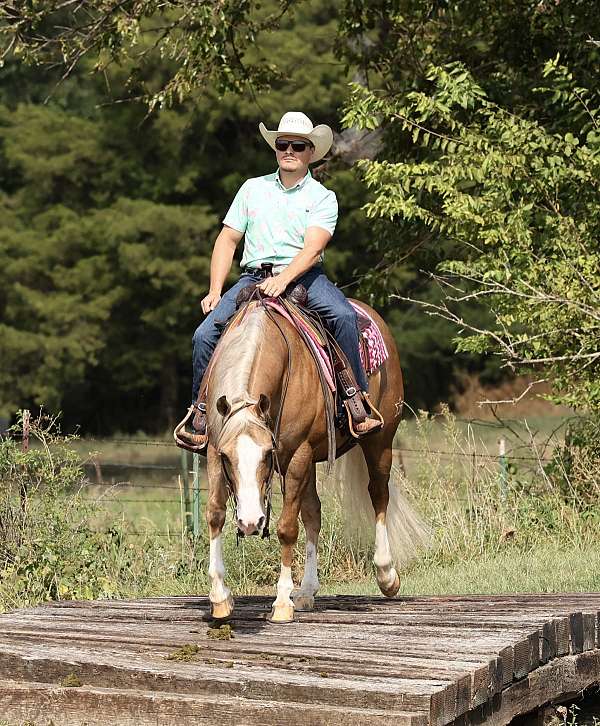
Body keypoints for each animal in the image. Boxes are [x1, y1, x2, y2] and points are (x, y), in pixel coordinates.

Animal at [204, 298, 428, 622]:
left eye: (268, 454)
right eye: (226, 457)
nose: (250, 522)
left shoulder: (297, 452)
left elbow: (287, 528)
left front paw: (281, 602)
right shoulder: (213, 449)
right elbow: (215, 514)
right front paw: (220, 597)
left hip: (379, 441)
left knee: (378, 494)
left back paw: (386, 575)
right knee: (313, 513)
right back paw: (307, 591)